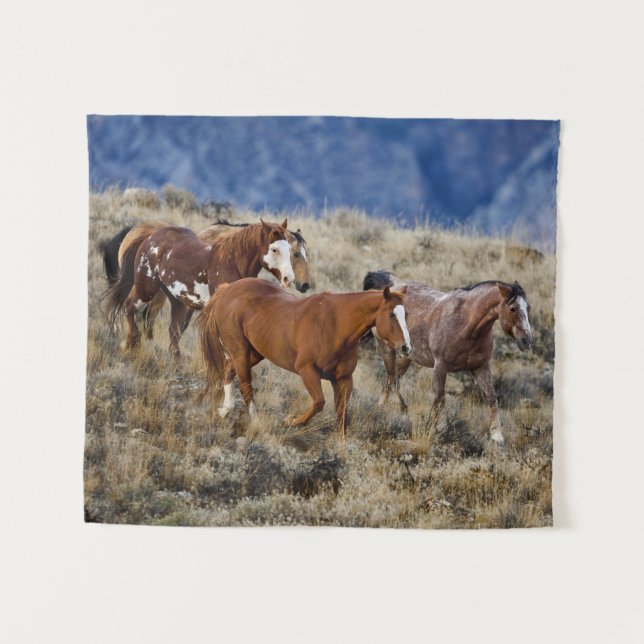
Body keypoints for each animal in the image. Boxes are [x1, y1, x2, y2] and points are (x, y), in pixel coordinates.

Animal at [103, 220, 294, 360]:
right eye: (274, 249)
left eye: (290, 249)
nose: (288, 279)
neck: (230, 263)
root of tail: (150, 237)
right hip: (146, 288)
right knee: (130, 307)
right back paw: (130, 343)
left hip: (177, 301)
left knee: (173, 331)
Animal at [199, 278, 411, 440]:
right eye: (391, 315)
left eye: (406, 314)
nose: (406, 347)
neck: (336, 325)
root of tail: (228, 289)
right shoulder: (307, 371)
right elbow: (319, 403)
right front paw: (290, 422)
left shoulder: (343, 379)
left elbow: (341, 415)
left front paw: (341, 446)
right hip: (241, 352)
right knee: (246, 387)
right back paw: (256, 423)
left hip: (254, 353)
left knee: (228, 370)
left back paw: (225, 410)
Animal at [363, 270, 533, 445]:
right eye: (512, 308)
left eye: (528, 308)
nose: (526, 341)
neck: (467, 325)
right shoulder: (441, 366)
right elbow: (439, 400)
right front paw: (431, 430)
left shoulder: (481, 367)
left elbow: (491, 398)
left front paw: (497, 436)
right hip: (388, 350)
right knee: (393, 379)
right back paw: (402, 410)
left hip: (406, 357)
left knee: (390, 380)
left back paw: (382, 408)